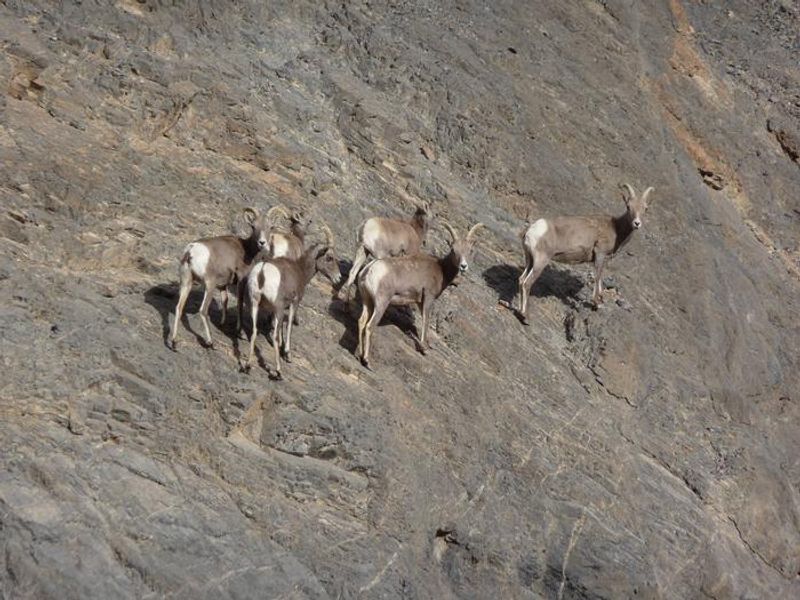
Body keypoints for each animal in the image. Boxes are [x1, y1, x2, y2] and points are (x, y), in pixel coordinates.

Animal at [167, 205, 284, 350]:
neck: (247, 250)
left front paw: (222, 323)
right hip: (209, 285)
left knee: (179, 308)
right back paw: (210, 342)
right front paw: (240, 332)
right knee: (203, 311)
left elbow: (225, 300)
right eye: (253, 226)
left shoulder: (223, 285)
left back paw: (174, 343)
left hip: (186, 283)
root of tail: (190, 252)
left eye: (270, 227)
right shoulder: (241, 280)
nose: (262, 242)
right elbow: (239, 303)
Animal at [243, 225, 341, 379]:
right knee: (275, 337)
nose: (339, 278)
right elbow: (288, 326)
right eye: (329, 257)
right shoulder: (293, 304)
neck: (299, 269)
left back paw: (247, 366)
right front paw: (287, 354)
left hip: (254, 304)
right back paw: (278, 371)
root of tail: (262, 272)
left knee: (254, 331)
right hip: (277, 308)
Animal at [355, 221, 484, 368]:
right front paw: (424, 348)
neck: (441, 269)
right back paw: (367, 361)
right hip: (381, 303)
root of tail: (369, 270)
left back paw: (360, 355)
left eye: (469, 251)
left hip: (367, 302)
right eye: (453, 250)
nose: (463, 266)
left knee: (361, 322)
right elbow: (425, 320)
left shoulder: (418, 301)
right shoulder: (428, 297)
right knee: (369, 326)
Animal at [516, 183, 655, 323]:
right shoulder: (600, 254)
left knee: (521, 280)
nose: (637, 223)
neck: (616, 229)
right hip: (541, 261)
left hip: (530, 261)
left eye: (645, 209)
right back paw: (525, 317)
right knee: (527, 283)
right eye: (628, 207)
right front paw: (596, 303)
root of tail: (531, 230)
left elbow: (601, 277)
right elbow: (597, 276)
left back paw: (520, 313)